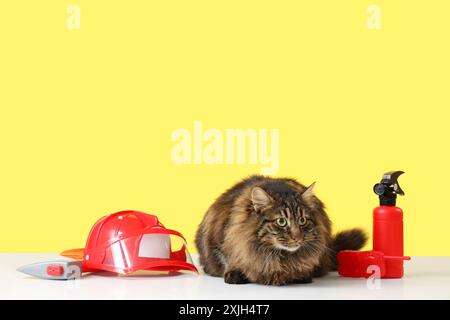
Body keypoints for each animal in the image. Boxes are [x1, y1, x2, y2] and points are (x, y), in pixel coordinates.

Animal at [195, 175, 368, 284]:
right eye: (281, 221)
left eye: (302, 220)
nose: (298, 238)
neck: (278, 257)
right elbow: (228, 259)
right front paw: (236, 273)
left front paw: (301, 275)